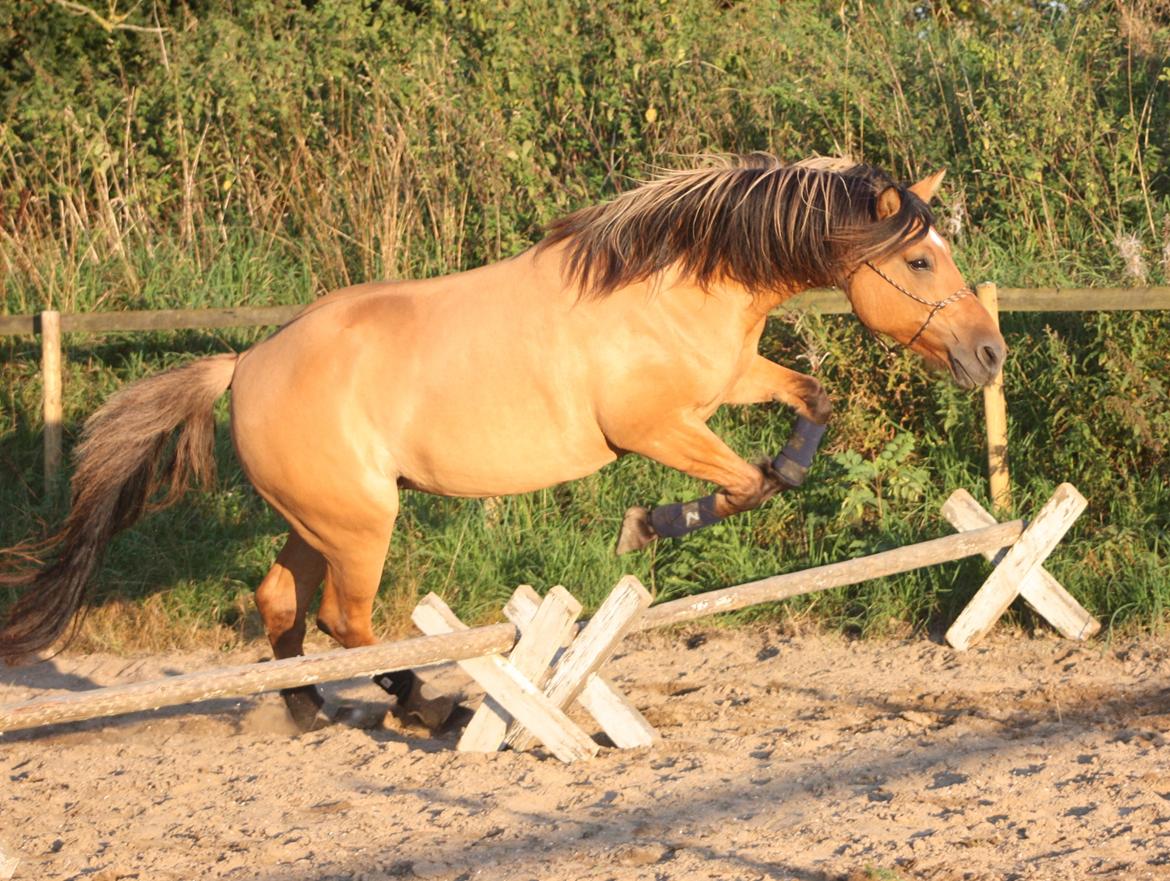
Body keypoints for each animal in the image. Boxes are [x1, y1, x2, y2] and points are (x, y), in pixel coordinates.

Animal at [0, 156, 1006, 730]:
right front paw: (651, 522)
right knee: (345, 620)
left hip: (320, 520)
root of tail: (244, 364)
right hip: (361, 525)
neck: (677, 280)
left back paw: (308, 709)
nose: (988, 352)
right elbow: (746, 483)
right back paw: (422, 706)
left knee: (282, 601)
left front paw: (737, 485)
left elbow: (806, 416)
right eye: (920, 258)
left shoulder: (726, 383)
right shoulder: (654, 426)